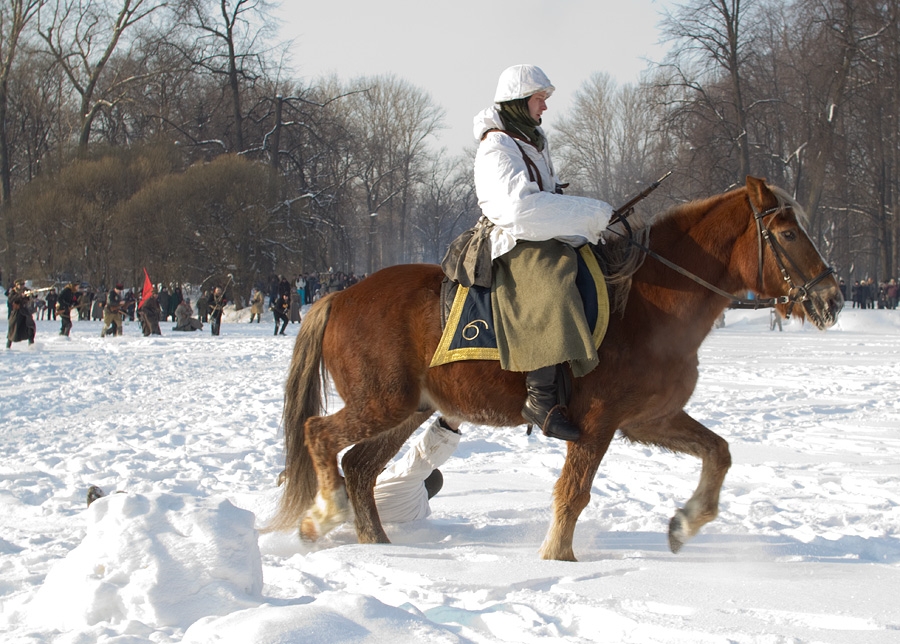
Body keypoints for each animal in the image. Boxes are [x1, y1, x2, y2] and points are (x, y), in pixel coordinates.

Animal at [268, 179, 844, 560]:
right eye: (787, 234)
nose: (832, 298)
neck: (649, 302)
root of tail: (339, 296)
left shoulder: (649, 420)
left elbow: (718, 452)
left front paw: (685, 521)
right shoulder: (597, 423)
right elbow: (574, 493)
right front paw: (557, 558)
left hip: (408, 410)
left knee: (361, 467)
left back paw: (377, 546)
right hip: (383, 403)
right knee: (320, 435)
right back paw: (328, 512)